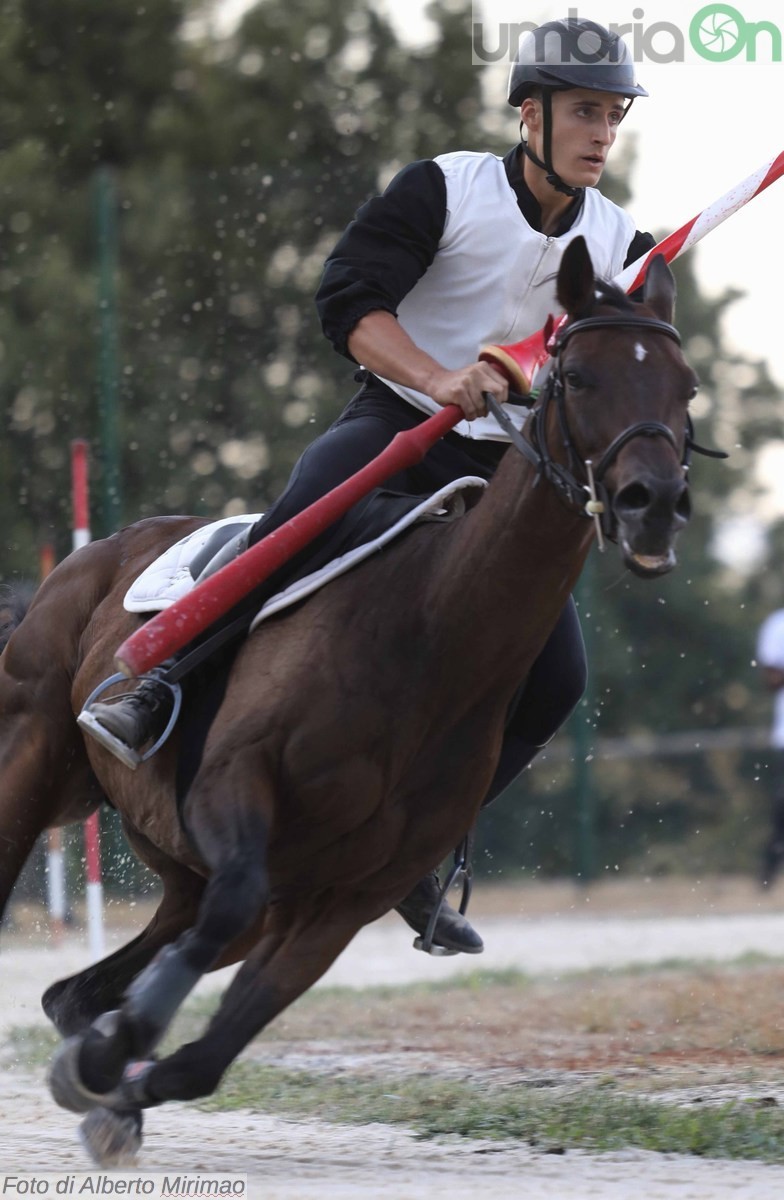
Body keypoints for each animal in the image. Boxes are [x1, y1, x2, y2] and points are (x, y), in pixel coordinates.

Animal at [0, 236, 696, 1161]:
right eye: (578, 375)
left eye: (686, 386)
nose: (652, 503)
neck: (431, 628)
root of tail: (88, 560)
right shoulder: (234, 788)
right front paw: (118, 1053)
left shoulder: (340, 901)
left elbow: (207, 1056)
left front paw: (113, 1074)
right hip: (32, 761)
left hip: (187, 869)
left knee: (83, 988)